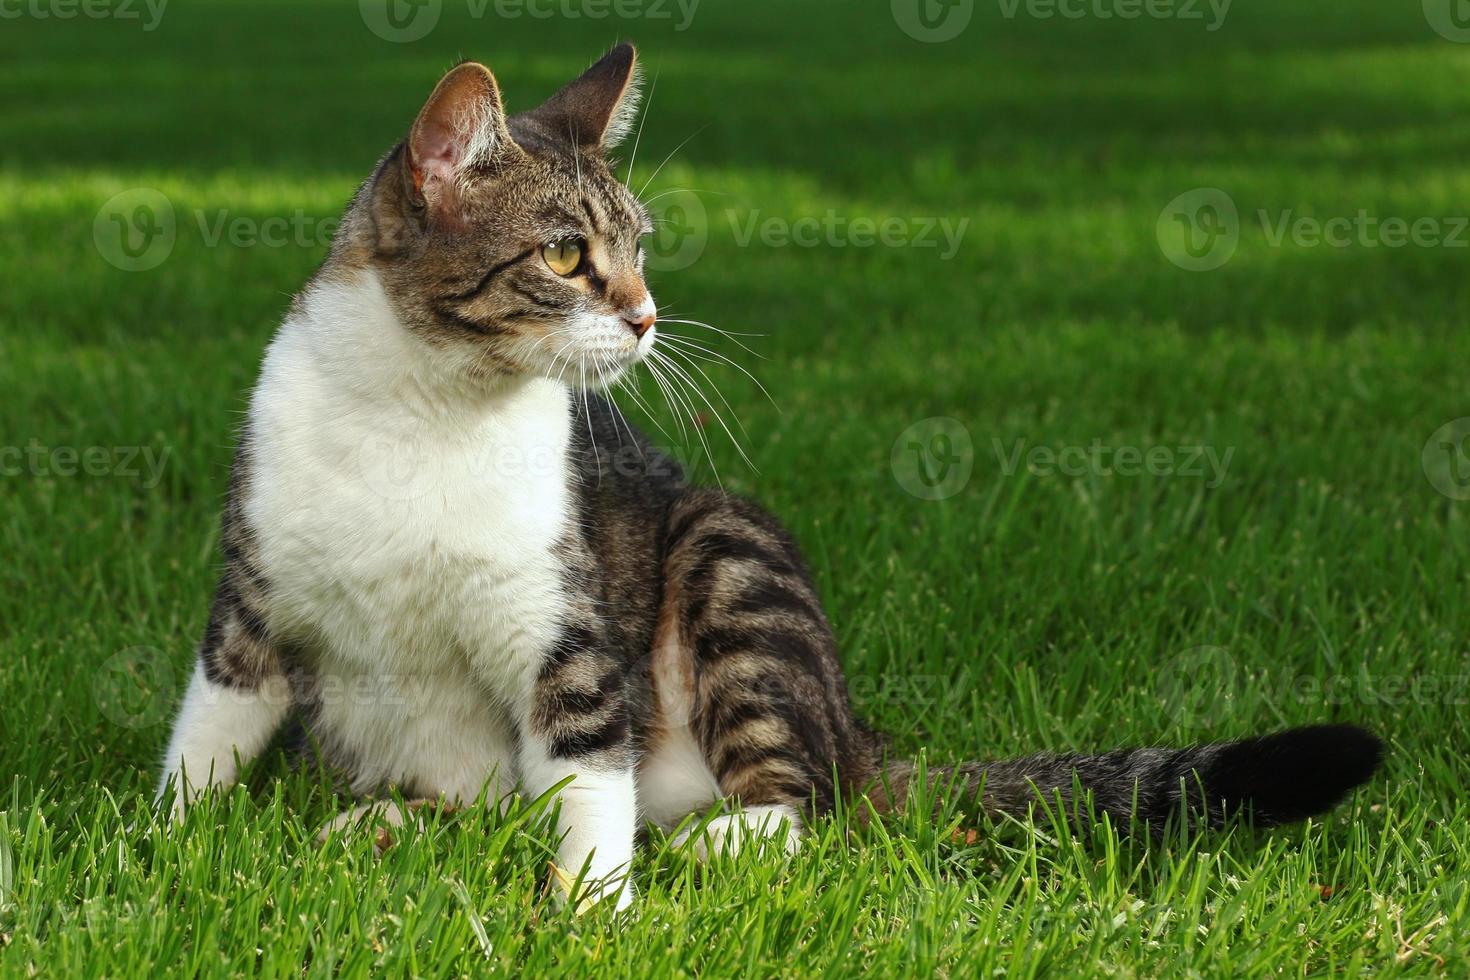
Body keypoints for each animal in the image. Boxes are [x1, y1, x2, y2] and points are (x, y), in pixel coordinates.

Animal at [160, 40, 1387, 910]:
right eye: (564, 254)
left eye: (639, 248)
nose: (647, 315)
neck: (422, 412)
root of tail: (857, 728)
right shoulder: (252, 591)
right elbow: (211, 726)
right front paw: (164, 843)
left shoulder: (561, 622)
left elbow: (587, 769)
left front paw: (593, 909)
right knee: (487, 807)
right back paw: (385, 824)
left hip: (732, 562)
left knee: (801, 804)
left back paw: (707, 842)